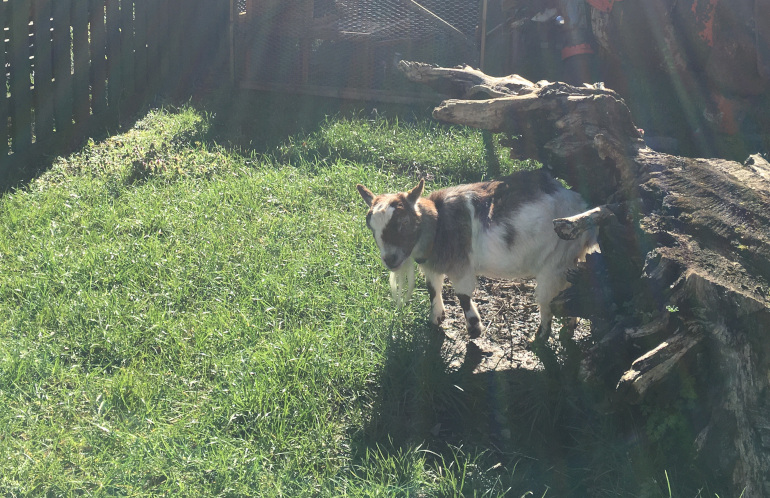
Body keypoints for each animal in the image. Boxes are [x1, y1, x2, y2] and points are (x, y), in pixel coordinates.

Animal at [356, 171, 596, 342]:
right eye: (370, 227)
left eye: (404, 222)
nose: (390, 259)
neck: (438, 224)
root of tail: (580, 204)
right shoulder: (434, 265)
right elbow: (433, 289)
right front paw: (436, 319)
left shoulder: (461, 266)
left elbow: (463, 296)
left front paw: (474, 329)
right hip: (568, 261)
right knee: (570, 291)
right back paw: (569, 327)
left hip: (555, 261)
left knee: (547, 301)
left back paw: (539, 339)